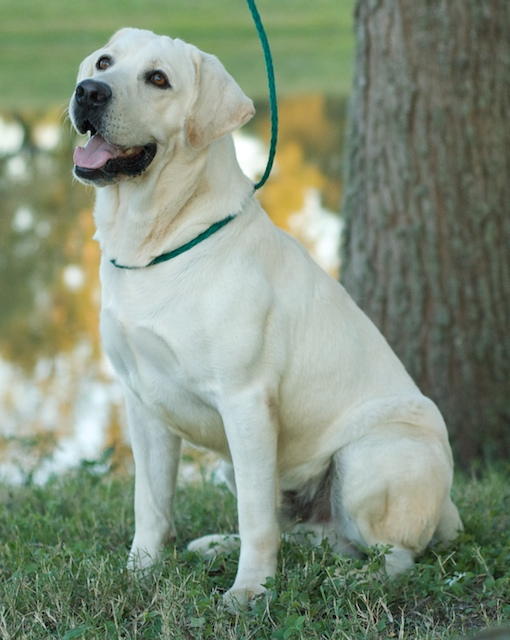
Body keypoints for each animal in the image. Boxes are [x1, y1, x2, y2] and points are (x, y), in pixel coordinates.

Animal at [69, 27, 462, 607]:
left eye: (158, 79)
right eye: (103, 62)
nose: (90, 93)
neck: (156, 245)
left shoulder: (246, 401)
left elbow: (256, 519)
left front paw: (249, 592)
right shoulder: (142, 402)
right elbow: (151, 504)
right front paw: (139, 572)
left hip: (371, 455)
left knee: (392, 555)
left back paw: (352, 580)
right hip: (240, 466)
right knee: (305, 534)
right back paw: (219, 545)